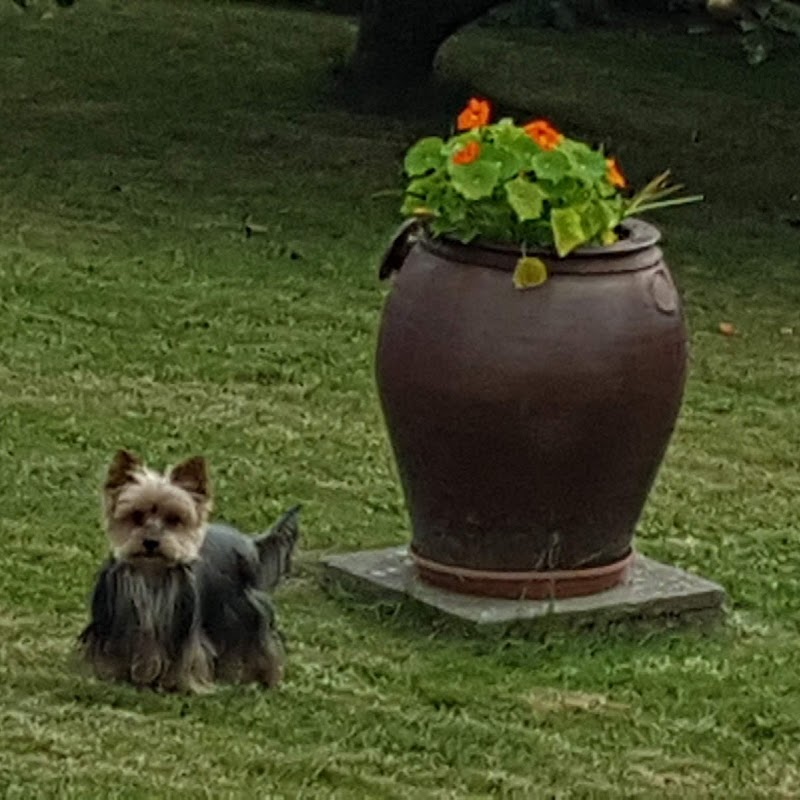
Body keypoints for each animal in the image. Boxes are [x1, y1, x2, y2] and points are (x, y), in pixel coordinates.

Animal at [80, 450, 300, 692]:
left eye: (174, 519)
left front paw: (179, 683)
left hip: (242, 610)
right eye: (136, 515)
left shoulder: (183, 629)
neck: (152, 572)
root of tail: (250, 542)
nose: (151, 542)